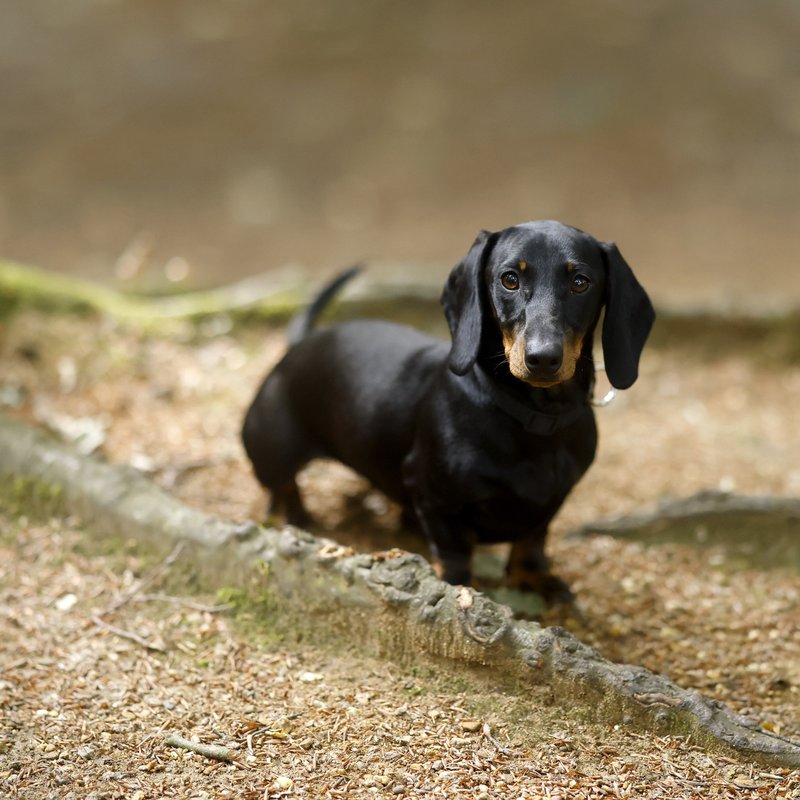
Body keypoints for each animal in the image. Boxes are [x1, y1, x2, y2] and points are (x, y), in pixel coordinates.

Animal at [241, 219, 652, 600]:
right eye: (509, 279)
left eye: (581, 282)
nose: (543, 358)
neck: (536, 420)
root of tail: (302, 344)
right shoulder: (435, 499)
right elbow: (455, 555)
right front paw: (460, 591)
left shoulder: (554, 500)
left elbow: (532, 541)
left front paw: (534, 578)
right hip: (271, 448)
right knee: (280, 485)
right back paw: (290, 514)